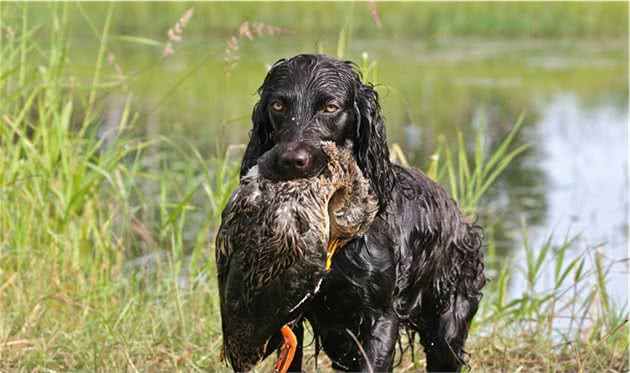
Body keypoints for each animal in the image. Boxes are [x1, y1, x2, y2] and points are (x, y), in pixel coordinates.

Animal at [239, 53, 486, 370]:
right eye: (278, 105)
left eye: (330, 107)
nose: (292, 160)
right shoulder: (291, 318)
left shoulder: (380, 316)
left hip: (447, 329)